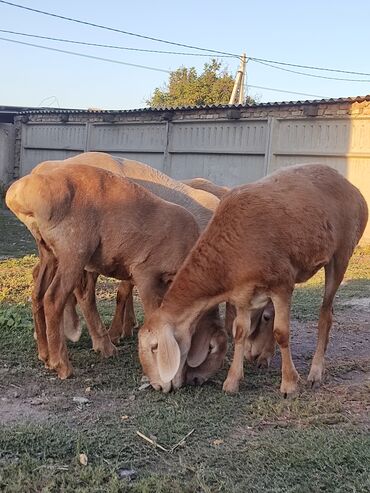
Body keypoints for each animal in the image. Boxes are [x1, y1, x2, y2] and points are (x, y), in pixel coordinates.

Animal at [138, 165, 368, 396]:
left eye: (154, 347)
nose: (158, 386)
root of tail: (351, 187)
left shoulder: (282, 284)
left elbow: (281, 333)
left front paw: (289, 383)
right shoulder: (242, 294)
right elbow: (239, 332)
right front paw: (232, 381)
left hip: (341, 255)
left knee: (326, 315)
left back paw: (315, 372)